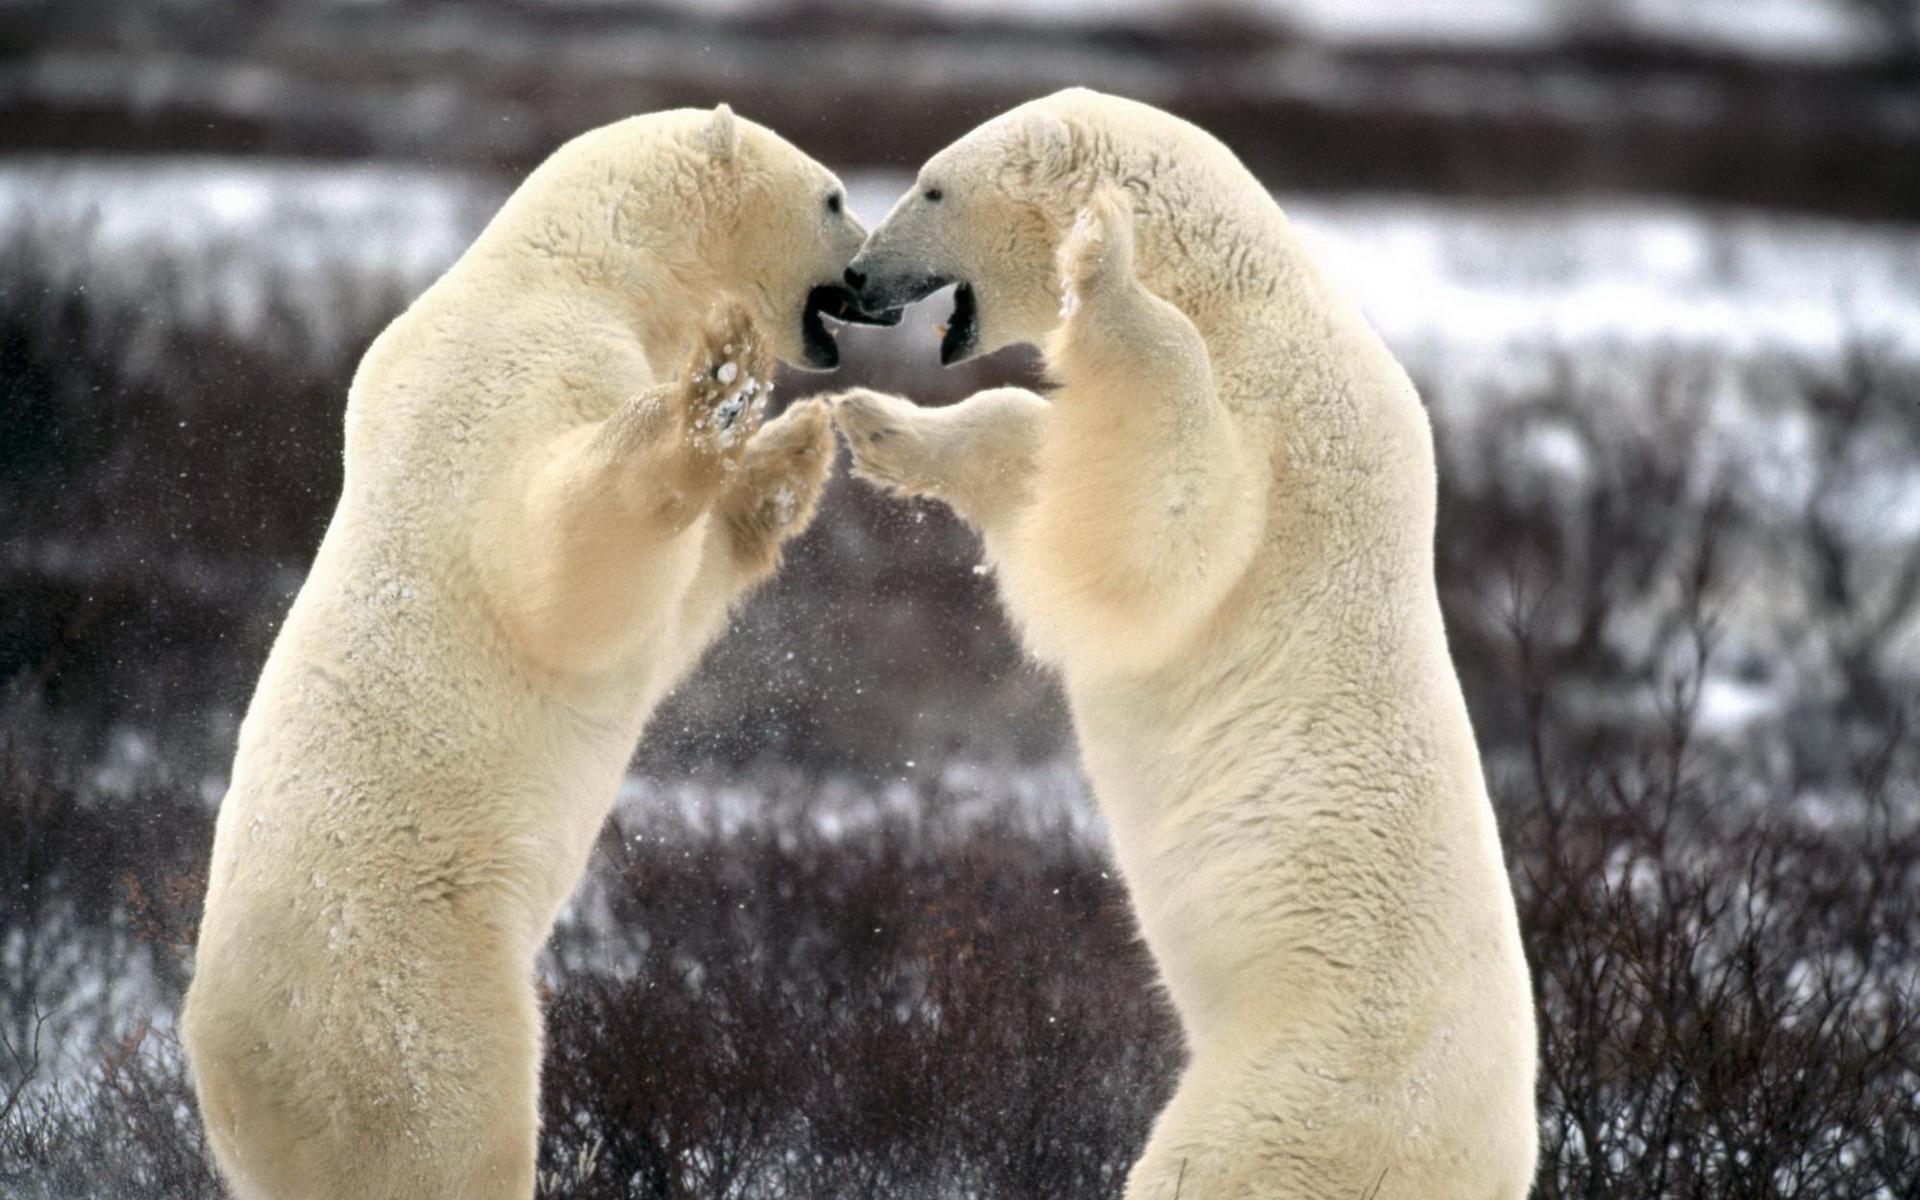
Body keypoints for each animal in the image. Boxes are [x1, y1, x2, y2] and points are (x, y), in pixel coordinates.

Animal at [183, 105, 879, 1198]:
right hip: (406, 996)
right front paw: (721, 387)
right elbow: (570, 566)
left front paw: (793, 448)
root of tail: (226, 1075)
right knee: (453, 1130)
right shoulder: (523, 377)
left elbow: (678, 601)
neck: (581, 267)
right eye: (835, 197)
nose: (869, 271)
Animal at [833, 91, 1536, 1198]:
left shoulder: (1288, 442)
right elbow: (1049, 458)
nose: (858, 278)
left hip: (1298, 1096)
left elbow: (1166, 531)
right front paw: (879, 425)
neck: (1246, 305)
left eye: (933, 187)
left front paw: (1101, 260)